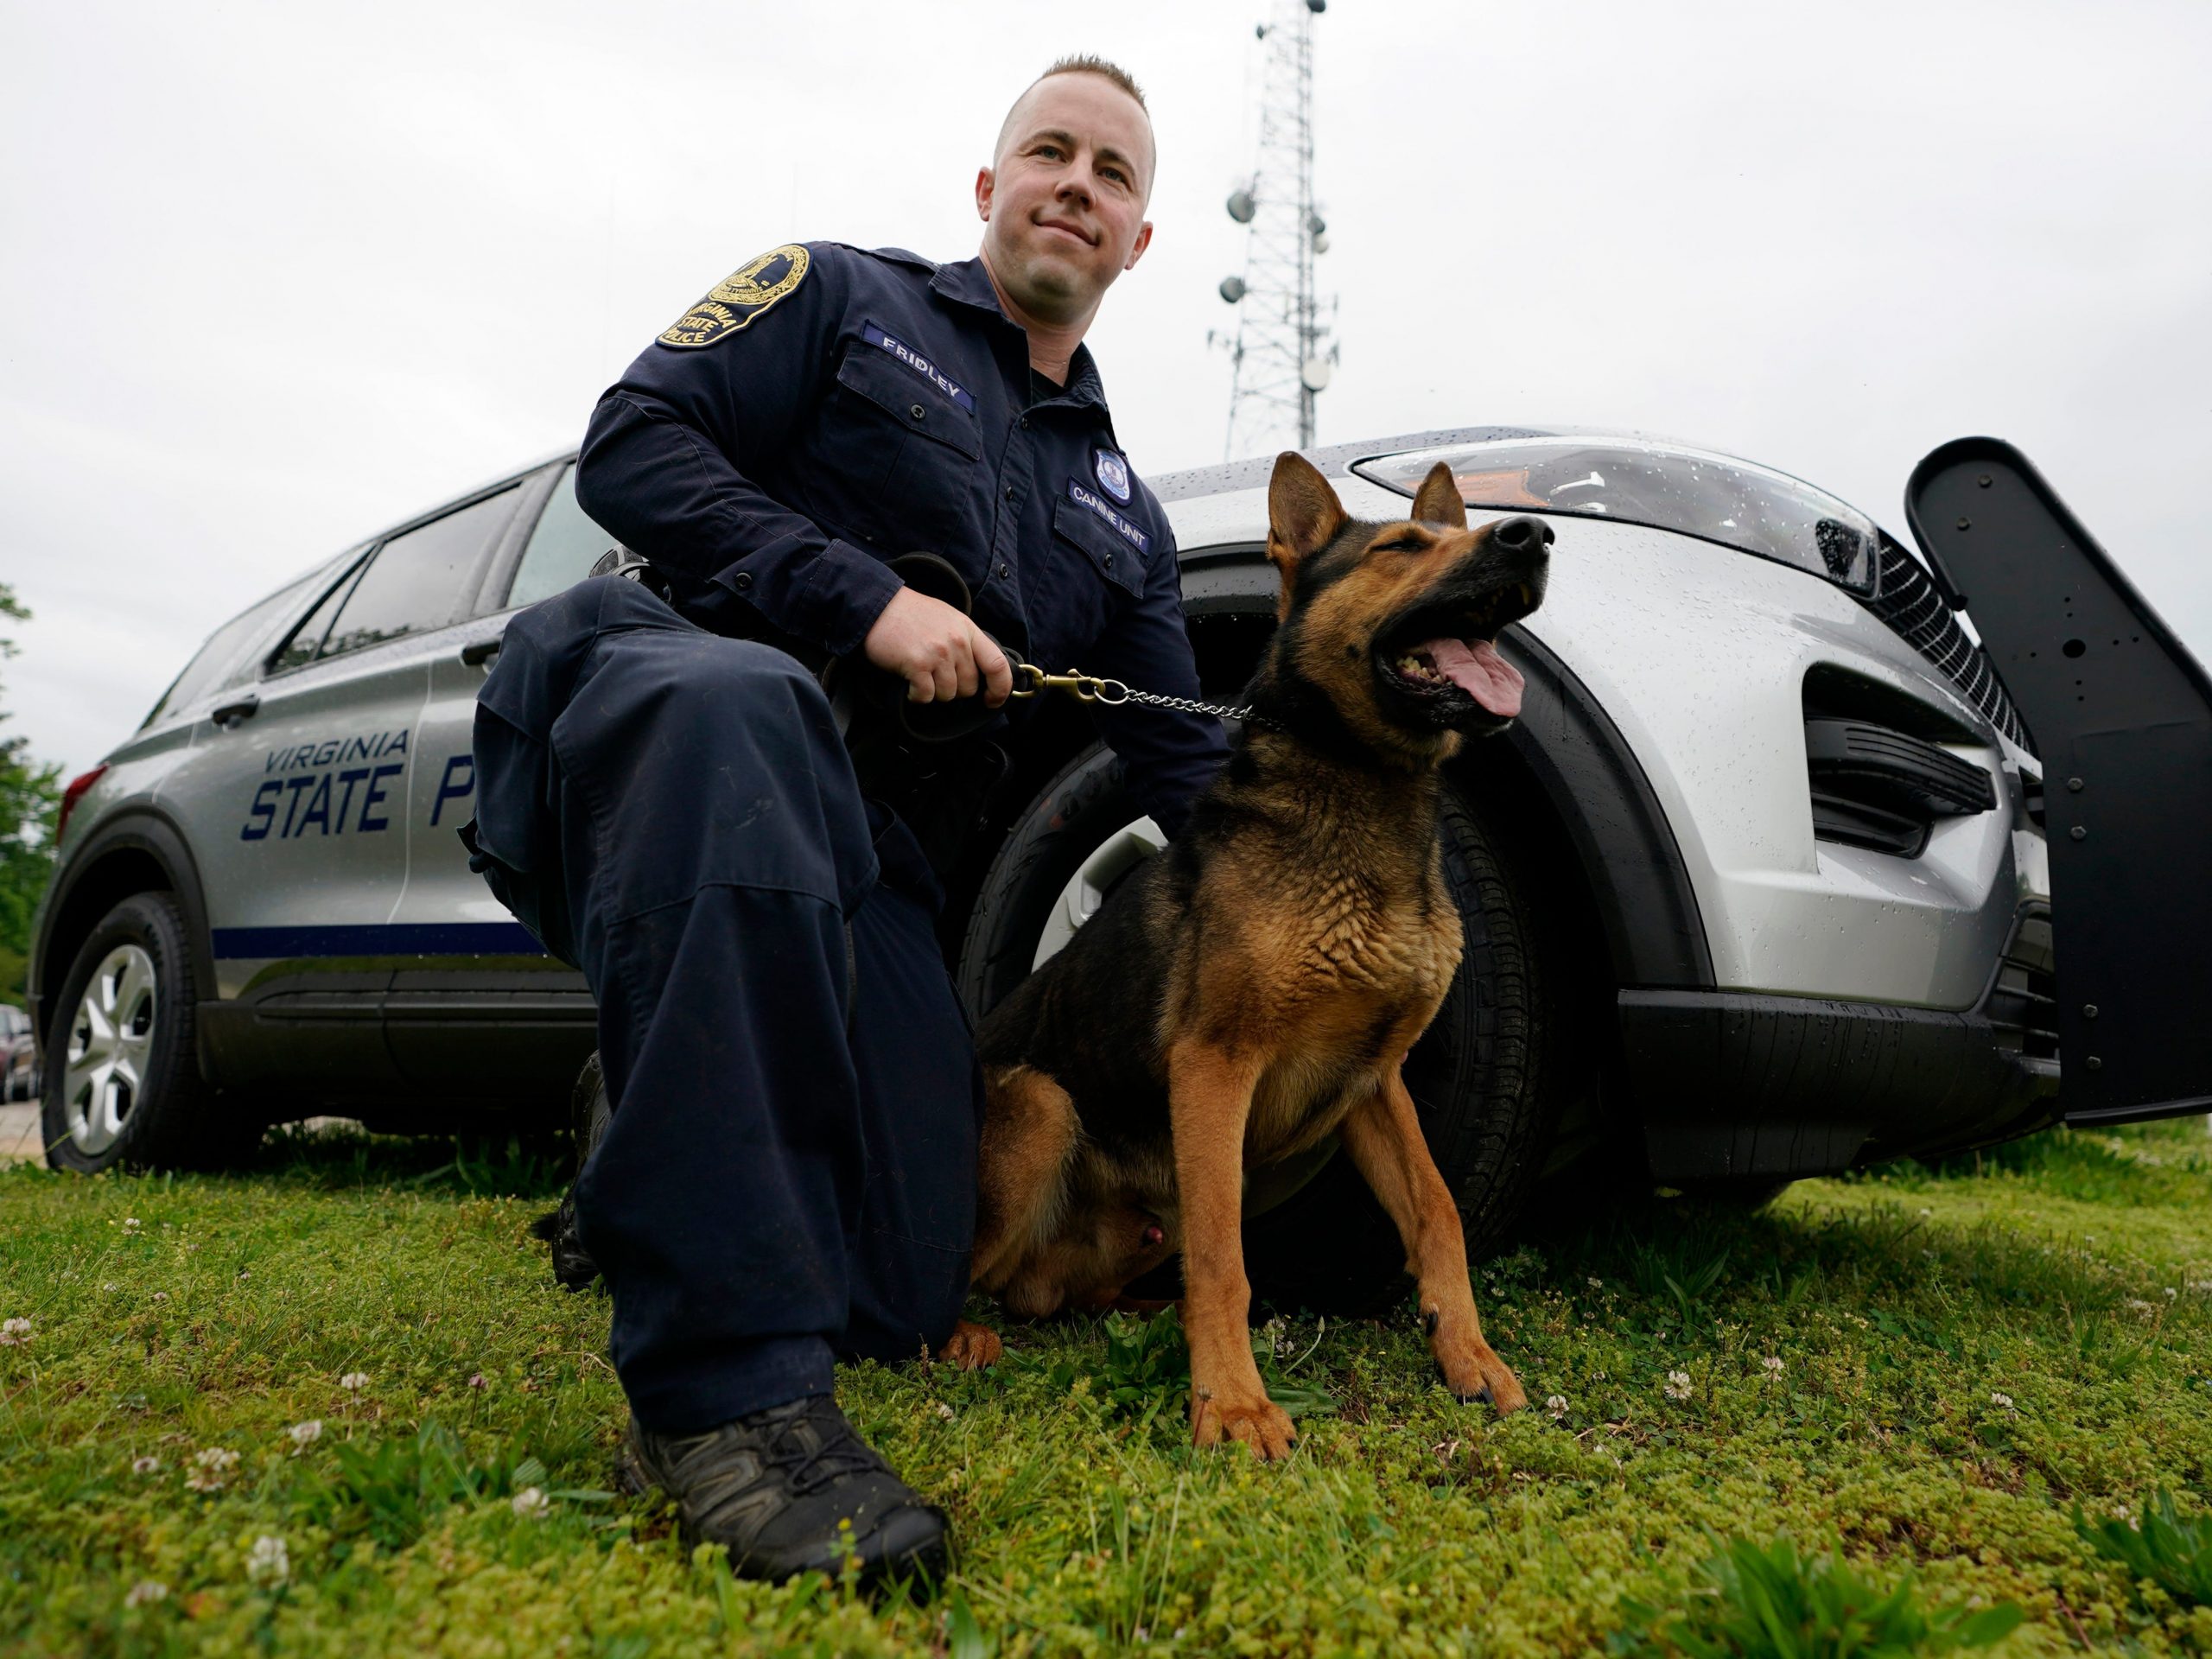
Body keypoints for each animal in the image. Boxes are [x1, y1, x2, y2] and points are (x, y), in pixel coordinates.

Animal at [942, 451, 1548, 1451]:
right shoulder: (1215, 1064)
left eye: (1446, 534)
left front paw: (1467, 1352)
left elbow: (1438, 1212)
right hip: (1041, 1107)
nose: (1533, 536)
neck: (1367, 794)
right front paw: (1230, 1403)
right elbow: (1227, 1249)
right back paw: (958, 1332)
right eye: (1399, 548)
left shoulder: (1371, 1082)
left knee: (1069, 1294)